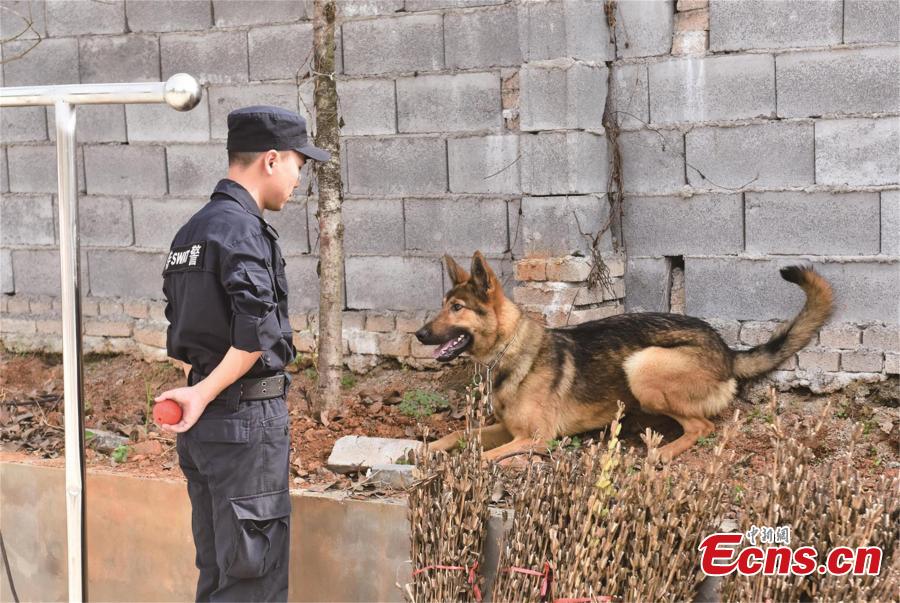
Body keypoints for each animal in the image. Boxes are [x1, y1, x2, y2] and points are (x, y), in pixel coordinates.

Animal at [412, 250, 832, 462]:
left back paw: (663, 452)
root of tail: (726, 351)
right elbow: (456, 435)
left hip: (643, 365)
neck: (509, 350)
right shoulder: (508, 429)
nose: (418, 334)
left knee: (702, 426)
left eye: (457, 308)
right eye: (444, 305)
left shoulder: (536, 439)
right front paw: (425, 450)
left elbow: (482, 456)